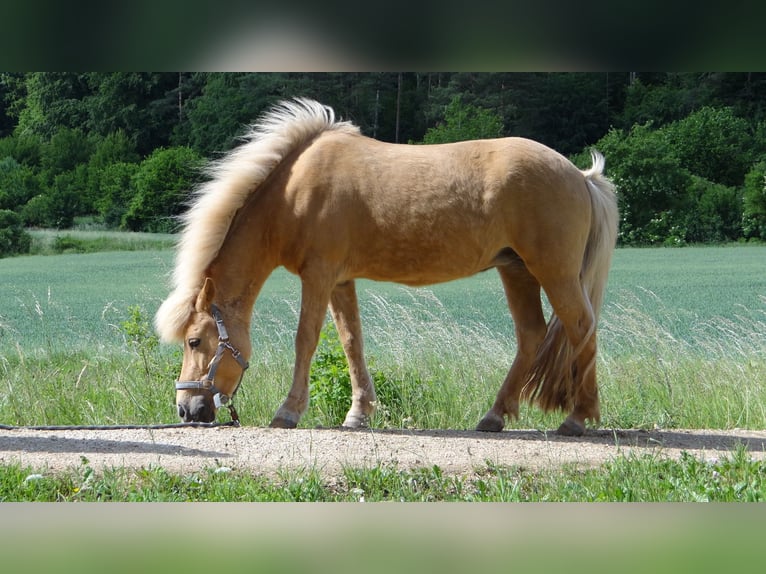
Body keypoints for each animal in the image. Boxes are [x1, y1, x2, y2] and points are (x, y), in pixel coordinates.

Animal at [155, 97, 619, 436]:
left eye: (194, 341)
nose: (186, 410)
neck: (293, 191)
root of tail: (581, 176)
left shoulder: (318, 276)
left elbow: (306, 340)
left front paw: (288, 411)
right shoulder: (340, 280)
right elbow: (351, 342)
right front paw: (358, 413)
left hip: (553, 272)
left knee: (581, 325)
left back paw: (578, 417)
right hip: (516, 270)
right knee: (532, 336)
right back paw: (494, 416)